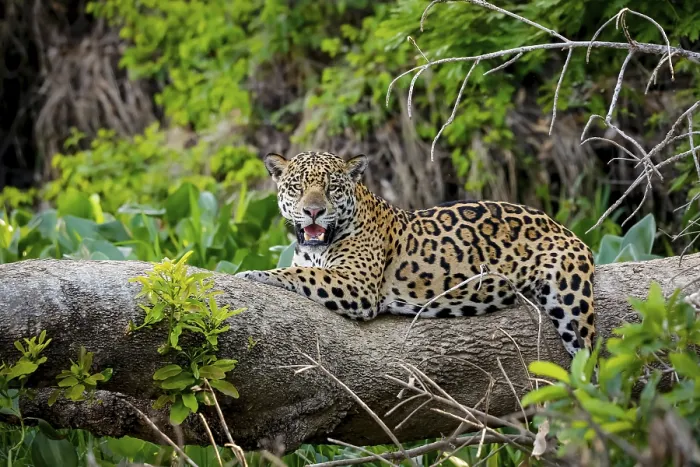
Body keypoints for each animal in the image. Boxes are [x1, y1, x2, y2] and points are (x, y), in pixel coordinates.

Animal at [235, 151, 596, 356]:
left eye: (332, 188)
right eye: (297, 187)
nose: (313, 211)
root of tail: (562, 226)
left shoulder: (358, 286)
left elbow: (301, 273)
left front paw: (253, 273)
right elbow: (302, 269)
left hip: (571, 302)